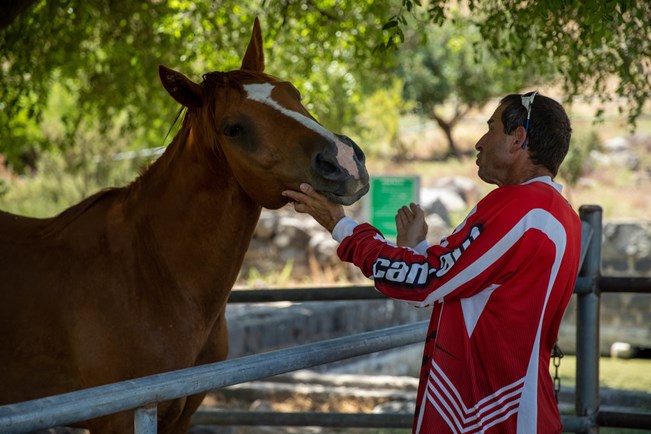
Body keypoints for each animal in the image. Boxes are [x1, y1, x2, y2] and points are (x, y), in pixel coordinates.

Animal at [0, 19, 366, 434]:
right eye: (233, 128)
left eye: (295, 93)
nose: (344, 160)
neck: (150, 273)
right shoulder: (121, 419)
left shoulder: (183, 414)